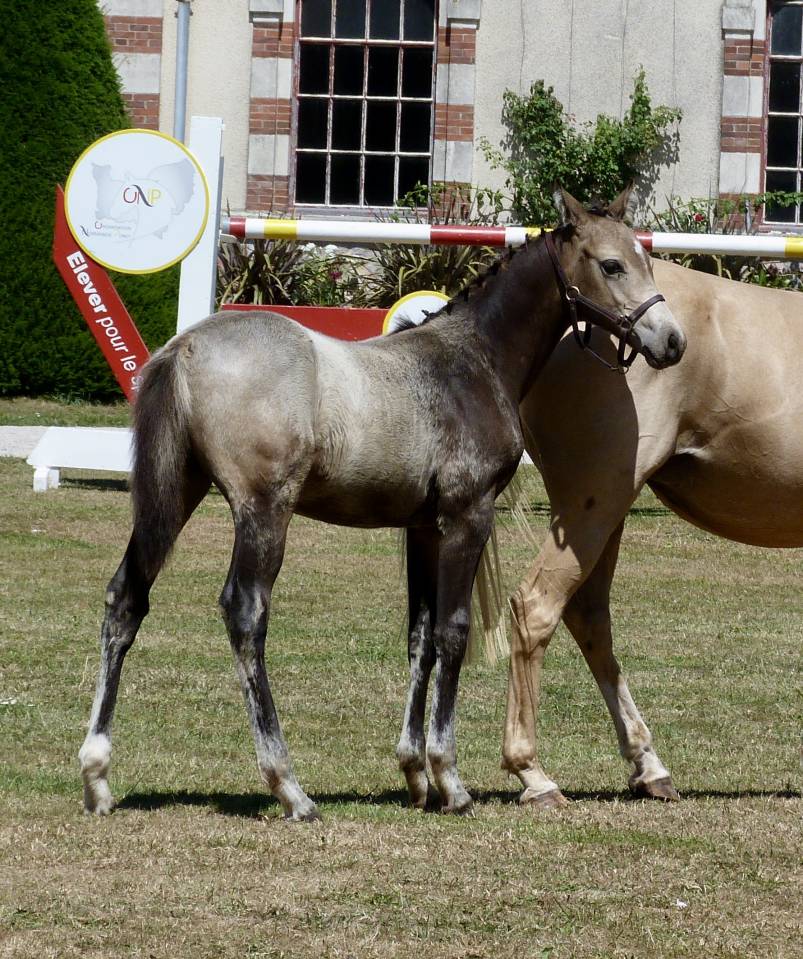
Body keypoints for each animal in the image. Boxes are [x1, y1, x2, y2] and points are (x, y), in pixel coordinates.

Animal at [78, 187, 685, 822]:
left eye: (644, 259)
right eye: (610, 265)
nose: (672, 341)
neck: (474, 359)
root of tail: (185, 346)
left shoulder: (424, 527)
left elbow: (420, 636)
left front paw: (417, 774)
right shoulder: (467, 517)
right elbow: (453, 632)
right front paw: (450, 779)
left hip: (175, 494)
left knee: (126, 599)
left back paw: (97, 775)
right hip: (263, 512)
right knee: (244, 613)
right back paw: (289, 786)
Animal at [502, 255, 803, 808]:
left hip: (600, 513)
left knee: (588, 615)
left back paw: (649, 766)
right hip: (595, 506)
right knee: (537, 606)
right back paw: (534, 775)